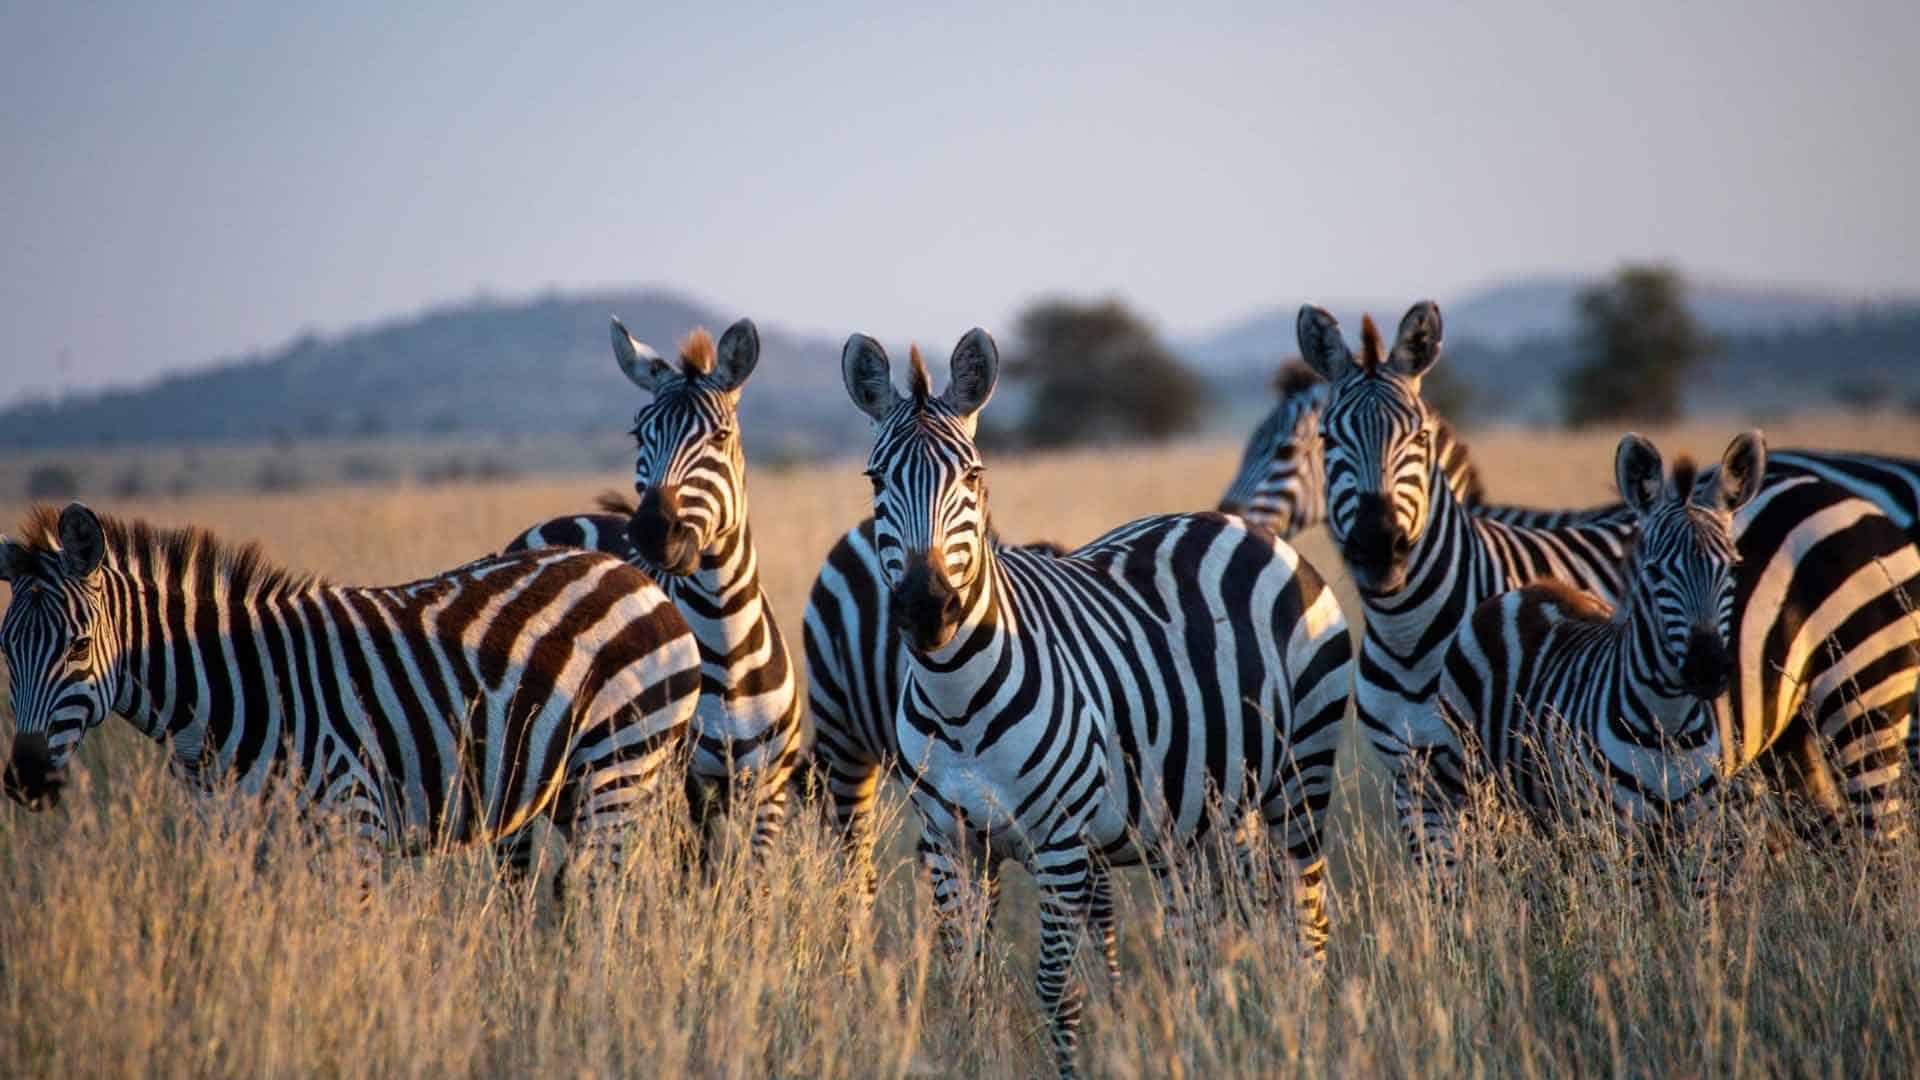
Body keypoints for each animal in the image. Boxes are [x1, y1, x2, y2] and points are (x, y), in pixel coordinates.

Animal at [0, 502, 702, 892]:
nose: (25, 777)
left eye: (79, 646)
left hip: (619, 764)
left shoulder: (351, 823)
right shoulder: (234, 841)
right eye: (4, 653)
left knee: (609, 896)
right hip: (567, 787)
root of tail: (632, 573)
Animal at [505, 317, 805, 868]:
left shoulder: (767, 792)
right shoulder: (680, 791)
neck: (727, 641)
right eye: (638, 433)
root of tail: (562, 521)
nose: (651, 531)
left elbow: (751, 885)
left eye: (721, 435)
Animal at [841, 328, 1353, 1078]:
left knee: (1305, 924)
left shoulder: (1060, 845)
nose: (927, 608)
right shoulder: (948, 843)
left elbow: (1056, 988)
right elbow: (965, 984)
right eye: (876, 482)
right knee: (1204, 941)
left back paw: (1306, 1036)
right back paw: (1212, 1037)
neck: (958, 700)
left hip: (1299, 779)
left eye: (973, 478)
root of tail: (1244, 529)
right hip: (1203, 817)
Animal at [1428, 433, 1761, 882]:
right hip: (1467, 785)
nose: (1707, 668)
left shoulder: (1702, 834)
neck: (1668, 726)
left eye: (1733, 569)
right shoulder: (1612, 836)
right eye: (1654, 573)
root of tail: (1527, 590)